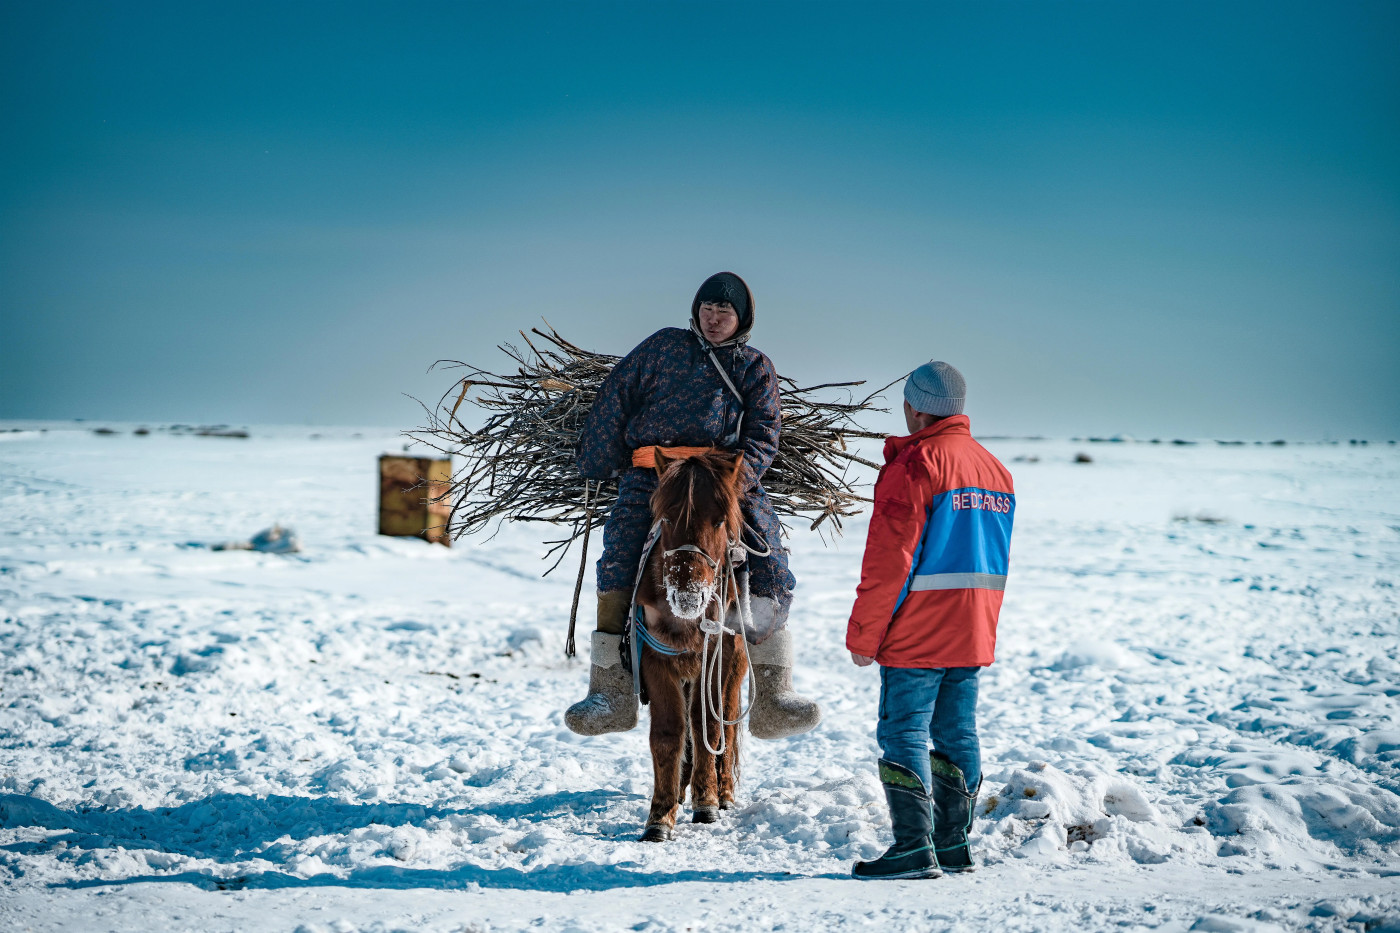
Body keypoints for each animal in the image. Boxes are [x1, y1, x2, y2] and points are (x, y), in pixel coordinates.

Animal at [638, 448, 756, 840]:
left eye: (719, 521)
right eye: (665, 518)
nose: (687, 596)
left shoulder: (715, 662)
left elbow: (709, 723)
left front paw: (707, 802)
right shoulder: (656, 661)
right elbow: (669, 732)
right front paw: (661, 815)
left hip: (733, 671)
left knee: (728, 725)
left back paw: (724, 793)